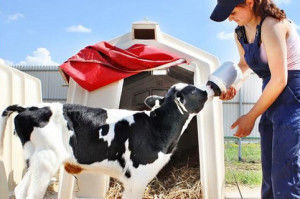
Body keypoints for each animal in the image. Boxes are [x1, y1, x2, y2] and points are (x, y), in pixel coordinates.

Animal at [0, 83, 206, 199]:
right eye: (193, 90)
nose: (207, 88)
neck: (156, 125)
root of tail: (28, 107)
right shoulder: (137, 177)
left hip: (35, 160)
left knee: (20, 191)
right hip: (46, 160)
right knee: (31, 194)